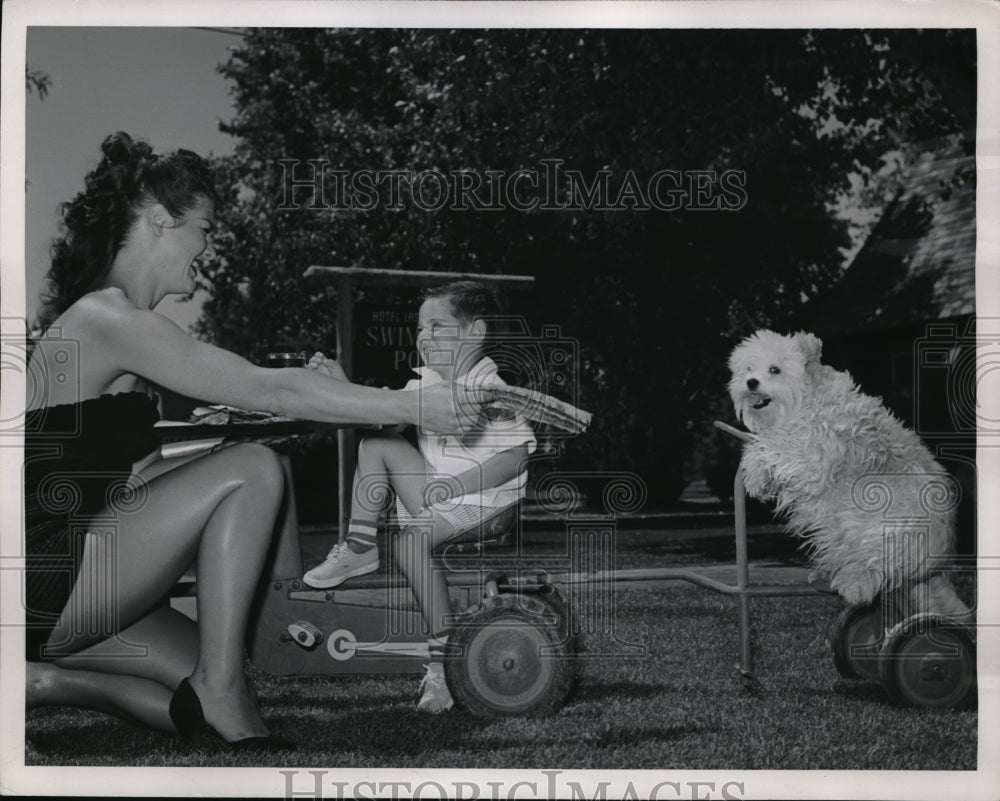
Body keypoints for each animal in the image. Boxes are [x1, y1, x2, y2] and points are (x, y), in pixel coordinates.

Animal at [728, 326, 968, 620]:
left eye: (774, 370)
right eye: (748, 368)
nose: (750, 382)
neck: (805, 400)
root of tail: (937, 566)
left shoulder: (812, 458)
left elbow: (771, 448)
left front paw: (755, 466)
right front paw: (755, 478)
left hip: (888, 530)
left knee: (879, 563)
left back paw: (854, 582)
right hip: (839, 528)